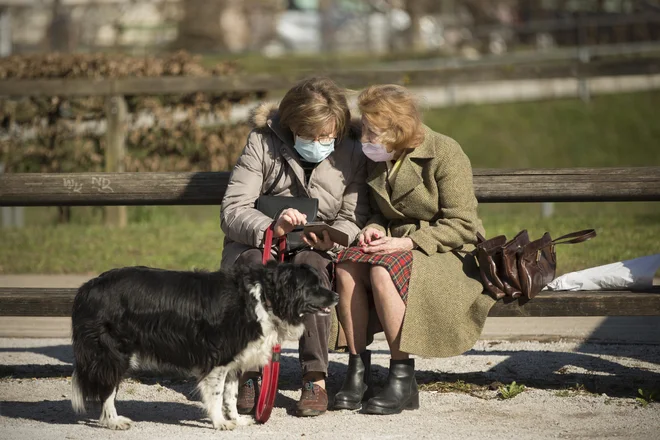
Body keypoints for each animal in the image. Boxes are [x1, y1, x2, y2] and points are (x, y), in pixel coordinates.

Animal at [70, 262, 338, 430]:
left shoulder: (234, 361)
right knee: (107, 389)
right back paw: (113, 421)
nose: (335, 295)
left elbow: (231, 395)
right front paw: (220, 423)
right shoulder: (218, 359)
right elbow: (217, 395)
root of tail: (86, 288)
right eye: (313, 286)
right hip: (114, 352)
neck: (264, 299)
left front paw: (236, 419)